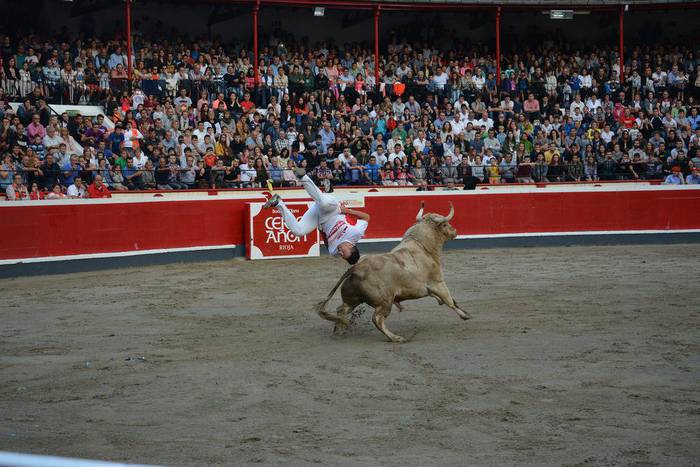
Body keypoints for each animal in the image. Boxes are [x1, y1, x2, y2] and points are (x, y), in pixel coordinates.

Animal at [314, 202, 470, 344]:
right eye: (445, 224)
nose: (455, 231)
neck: (422, 246)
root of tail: (356, 268)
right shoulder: (438, 283)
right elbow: (449, 301)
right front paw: (465, 315)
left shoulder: (433, 288)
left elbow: (449, 300)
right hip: (385, 302)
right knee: (377, 319)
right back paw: (396, 338)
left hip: (353, 299)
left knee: (341, 310)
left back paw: (338, 331)